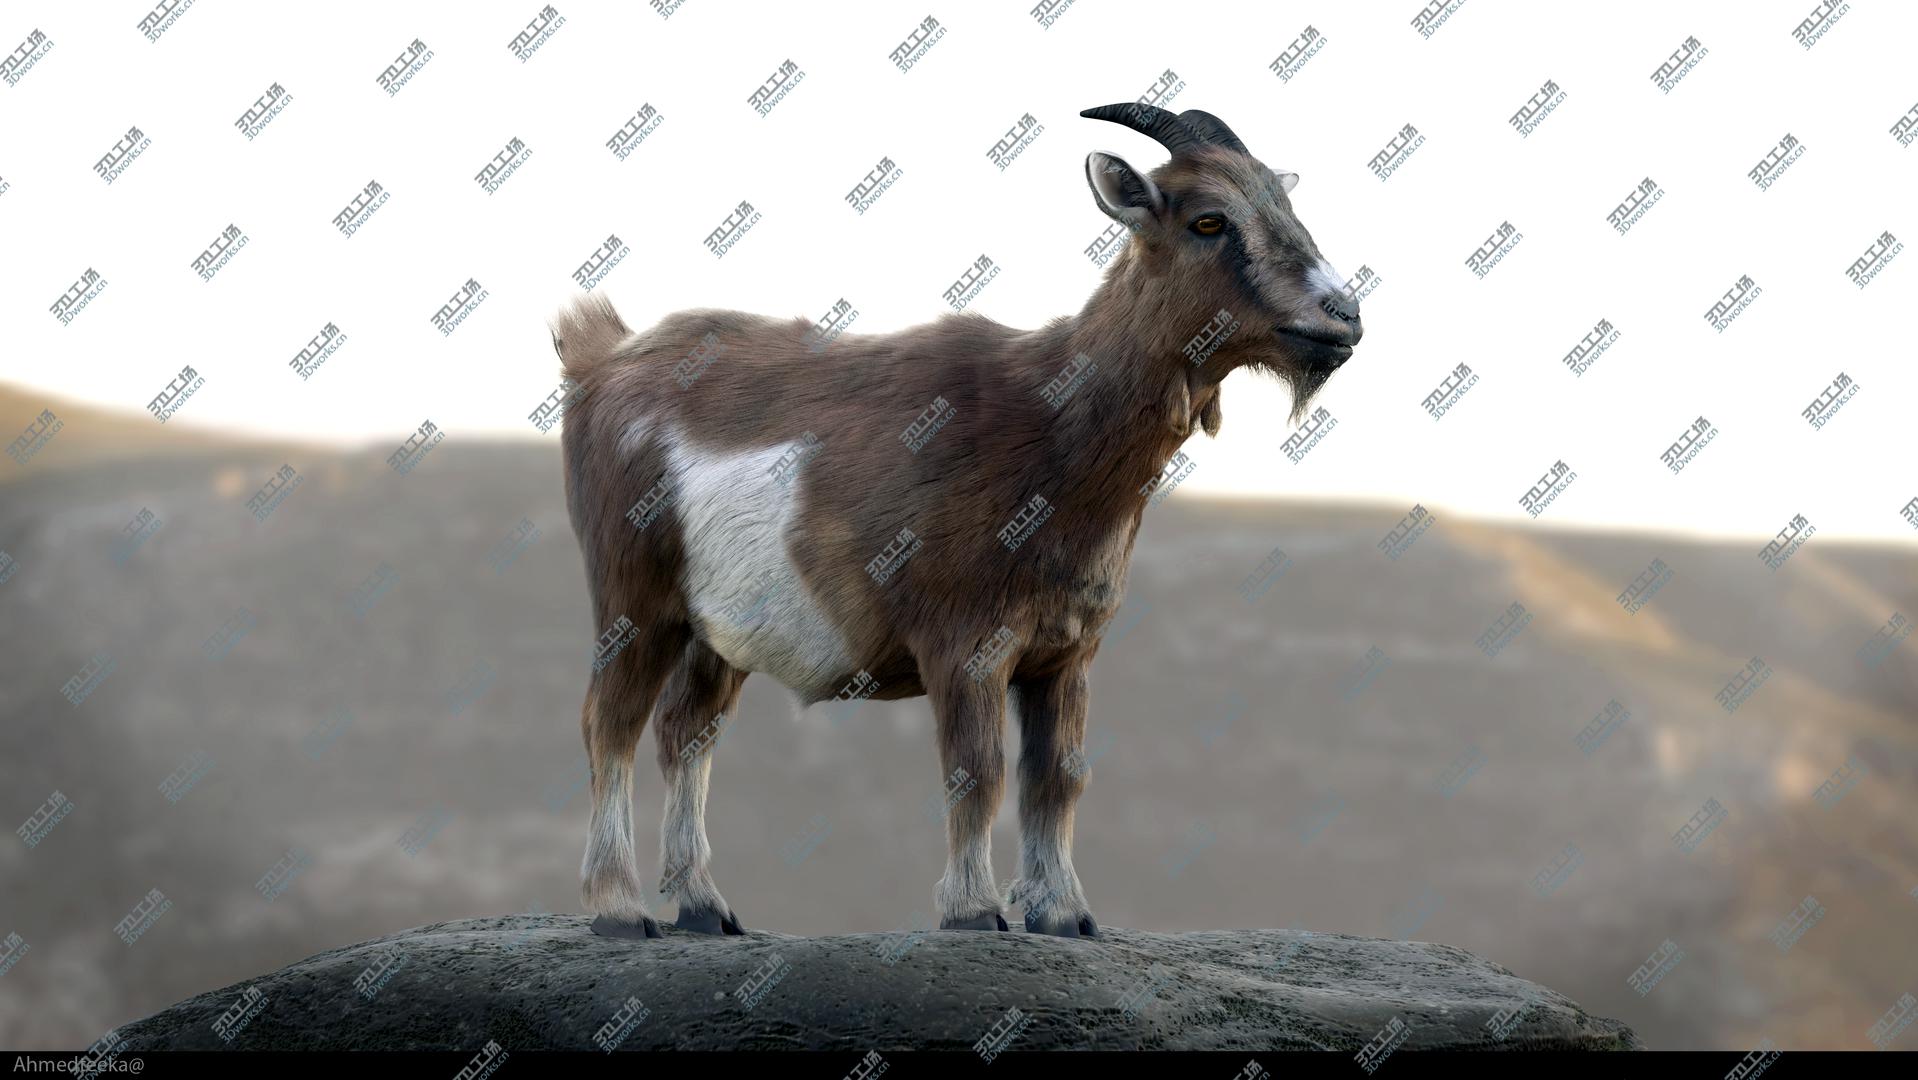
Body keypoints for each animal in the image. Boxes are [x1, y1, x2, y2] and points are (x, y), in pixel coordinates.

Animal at [549, 103, 1363, 940]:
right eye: (1209, 220)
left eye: (1285, 205)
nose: (1343, 316)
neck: (1048, 417)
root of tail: (598, 358)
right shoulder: (963, 643)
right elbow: (979, 769)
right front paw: (974, 909)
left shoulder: (1067, 654)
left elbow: (1058, 776)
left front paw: (1063, 913)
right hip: (635, 597)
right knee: (609, 723)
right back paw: (619, 908)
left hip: (715, 630)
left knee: (687, 731)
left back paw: (704, 906)